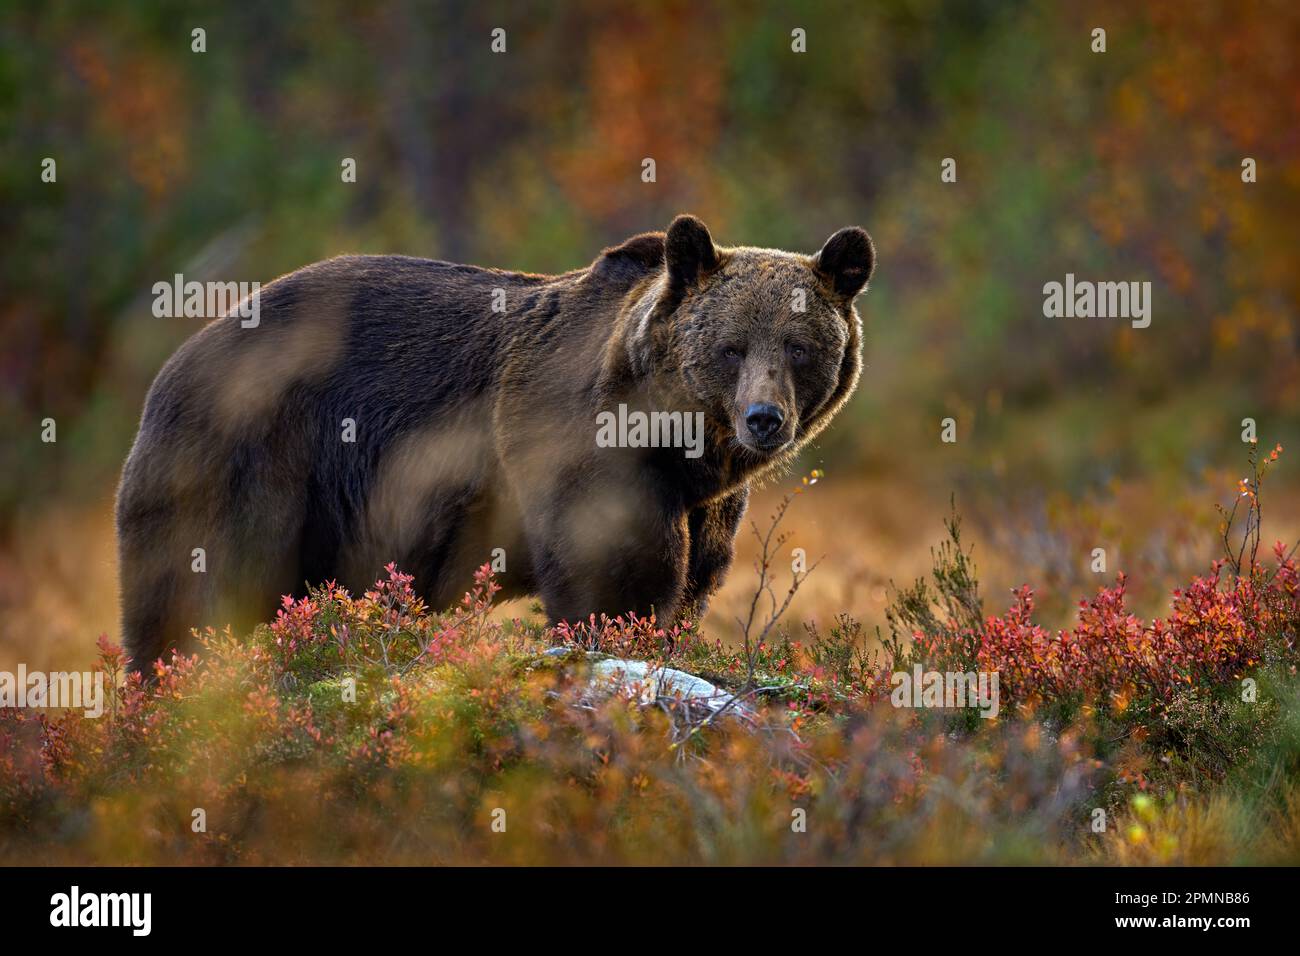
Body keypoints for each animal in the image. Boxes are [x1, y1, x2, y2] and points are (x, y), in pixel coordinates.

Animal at [119, 215, 873, 671]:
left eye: (800, 347)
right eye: (731, 346)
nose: (763, 418)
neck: (678, 441)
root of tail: (175, 362)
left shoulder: (707, 500)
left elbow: (694, 576)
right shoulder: (572, 439)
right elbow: (615, 570)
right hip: (249, 458)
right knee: (196, 590)